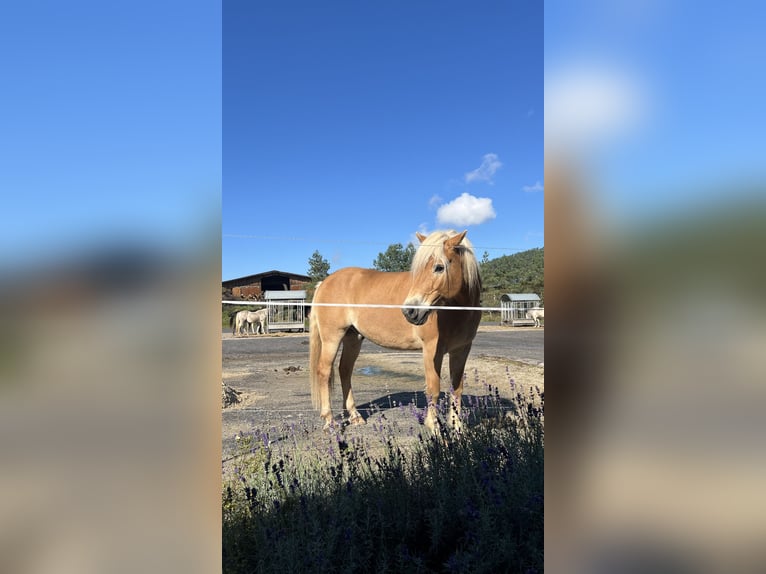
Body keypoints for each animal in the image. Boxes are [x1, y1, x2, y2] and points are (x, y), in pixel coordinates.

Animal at [309, 230, 482, 432]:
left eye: (439, 267)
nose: (410, 311)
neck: (455, 310)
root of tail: (324, 282)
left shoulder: (461, 350)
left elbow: (457, 388)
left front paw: (457, 427)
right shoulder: (432, 350)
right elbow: (434, 389)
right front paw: (434, 427)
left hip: (353, 338)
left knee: (345, 370)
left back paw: (355, 416)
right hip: (332, 338)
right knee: (324, 371)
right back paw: (330, 422)